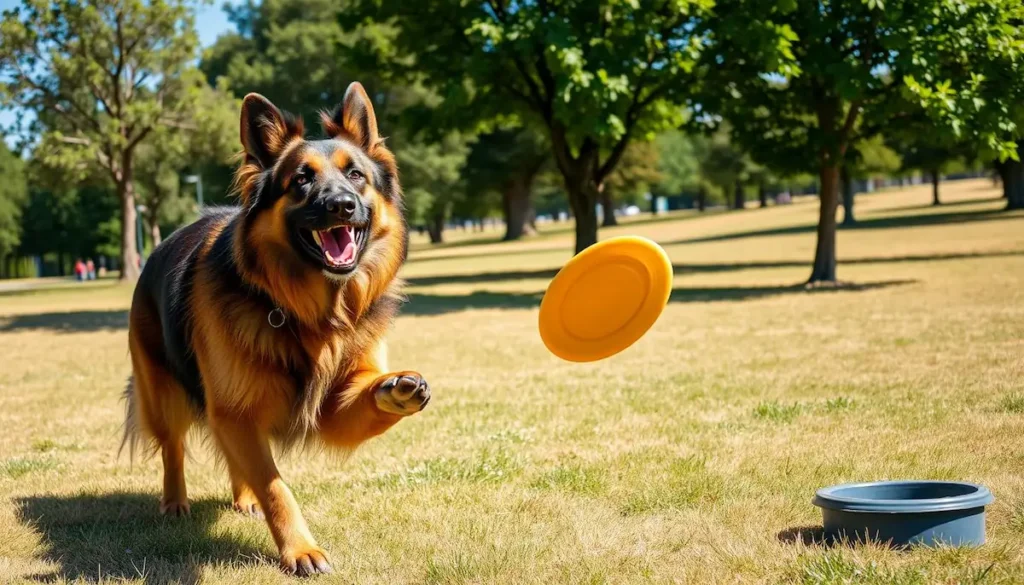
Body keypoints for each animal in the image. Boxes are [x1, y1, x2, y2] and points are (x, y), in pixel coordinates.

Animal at [123, 82, 428, 577]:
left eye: (356, 175)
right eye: (301, 180)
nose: (341, 205)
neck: (312, 314)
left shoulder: (325, 406)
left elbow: (366, 396)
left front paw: (396, 389)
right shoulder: (236, 408)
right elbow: (274, 485)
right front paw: (300, 550)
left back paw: (241, 497)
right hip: (161, 393)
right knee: (173, 446)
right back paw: (175, 502)